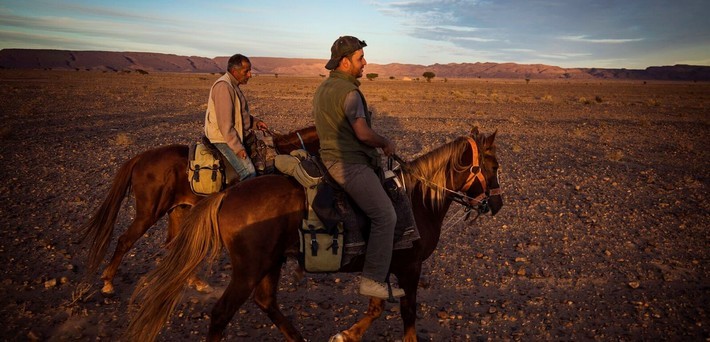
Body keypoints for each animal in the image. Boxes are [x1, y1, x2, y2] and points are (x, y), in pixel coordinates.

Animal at [80, 124, 320, 296]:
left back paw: (196, 282)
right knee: (125, 240)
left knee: (174, 245)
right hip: (149, 212)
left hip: (178, 209)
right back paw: (108, 283)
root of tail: (141, 158)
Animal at [129, 127, 506, 342]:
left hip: (270, 263)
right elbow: (408, 316)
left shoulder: (384, 265)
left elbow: (376, 306)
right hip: (250, 267)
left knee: (266, 302)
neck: (417, 198)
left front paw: (346, 335)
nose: (498, 203)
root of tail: (227, 195)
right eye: (494, 165)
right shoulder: (410, 267)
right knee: (222, 313)